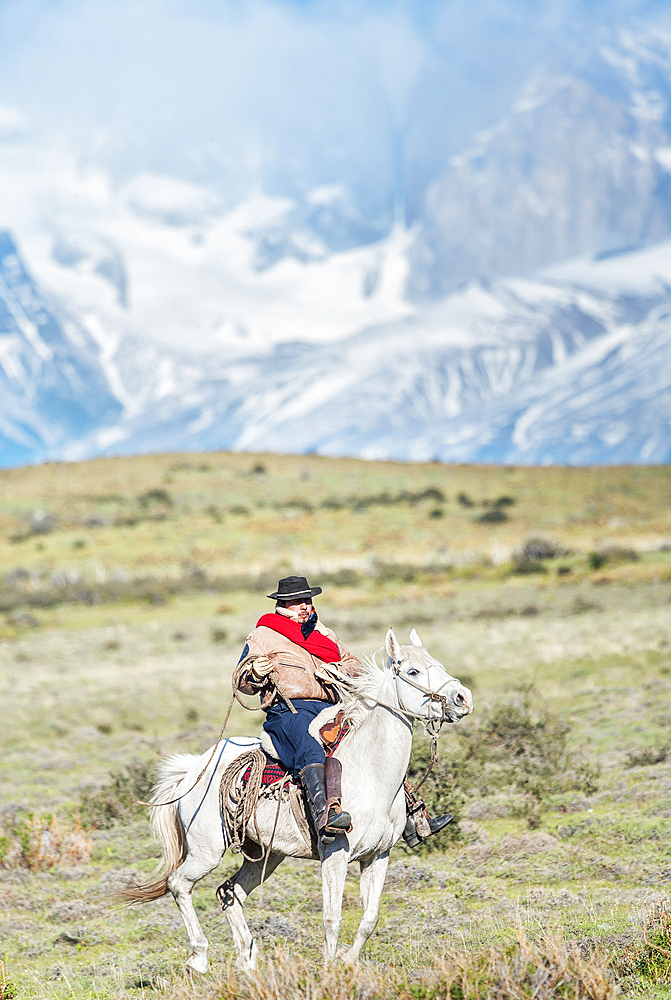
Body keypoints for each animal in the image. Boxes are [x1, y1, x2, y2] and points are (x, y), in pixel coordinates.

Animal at [124, 628, 472, 972]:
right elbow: (332, 919)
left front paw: (348, 961)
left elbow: (369, 919)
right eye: (412, 671)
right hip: (205, 852)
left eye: (437, 664)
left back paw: (247, 959)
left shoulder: (378, 855)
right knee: (179, 884)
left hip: (263, 856)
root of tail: (194, 770)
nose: (463, 698)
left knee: (229, 892)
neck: (370, 771)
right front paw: (331, 970)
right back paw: (199, 957)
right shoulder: (335, 854)